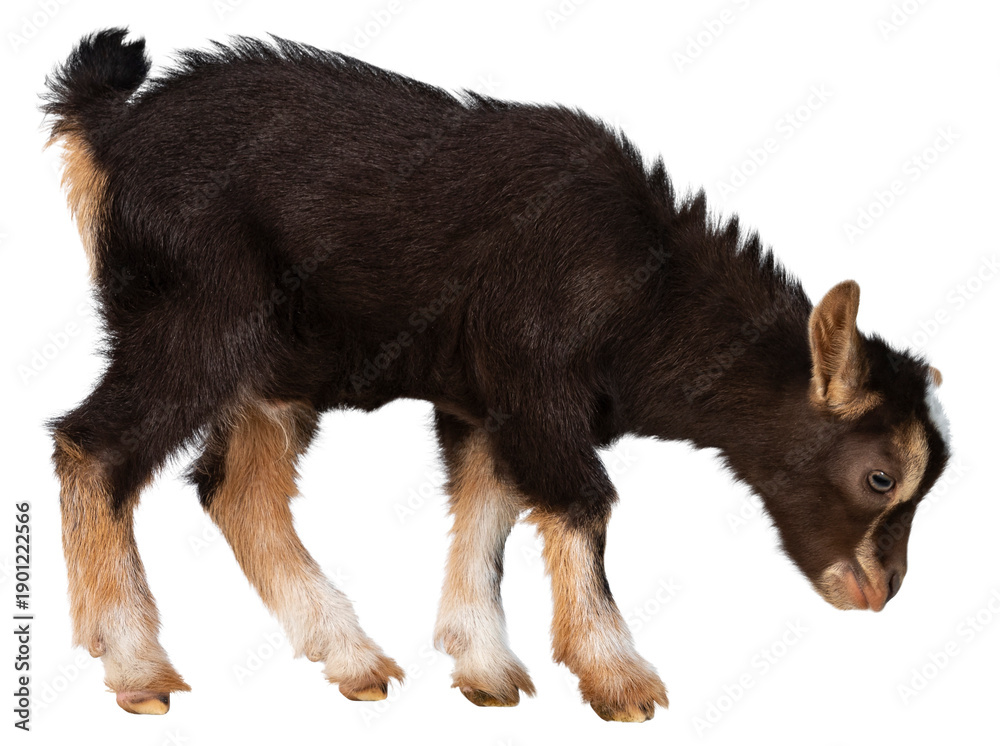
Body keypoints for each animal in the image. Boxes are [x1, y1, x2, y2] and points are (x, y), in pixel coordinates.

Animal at [43, 29, 950, 721]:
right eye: (880, 476)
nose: (881, 591)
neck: (646, 283)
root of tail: (112, 133)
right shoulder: (537, 390)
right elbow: (581, 503)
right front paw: (619, 678)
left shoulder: (484, 406)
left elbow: (487, 512)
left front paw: (484, 668)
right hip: (195, 324)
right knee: (92, 448)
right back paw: (136, 667)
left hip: (277, 370)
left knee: (237, 491)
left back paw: (350, 658)